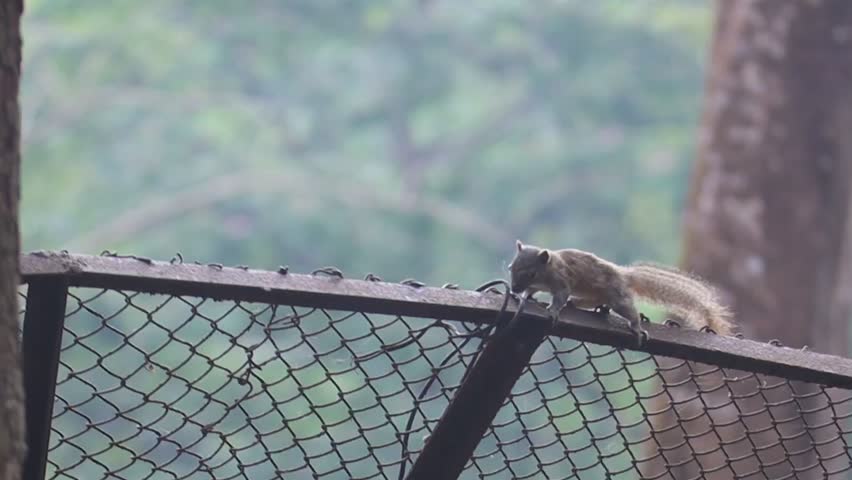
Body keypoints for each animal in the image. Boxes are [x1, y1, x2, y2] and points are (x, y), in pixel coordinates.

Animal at [508, 240, 733, 346]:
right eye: (511, 267)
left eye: (531, 273)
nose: (514, 288)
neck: (548, 267)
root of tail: (623, 275)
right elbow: (532, 290)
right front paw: (524, 296)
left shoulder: (562, 281)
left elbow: (560, 296)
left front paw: (553, 310)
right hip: (597, 295)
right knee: (589, 302)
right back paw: (577, 304)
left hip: (617, 297)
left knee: (629, 312)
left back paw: (637, 327)